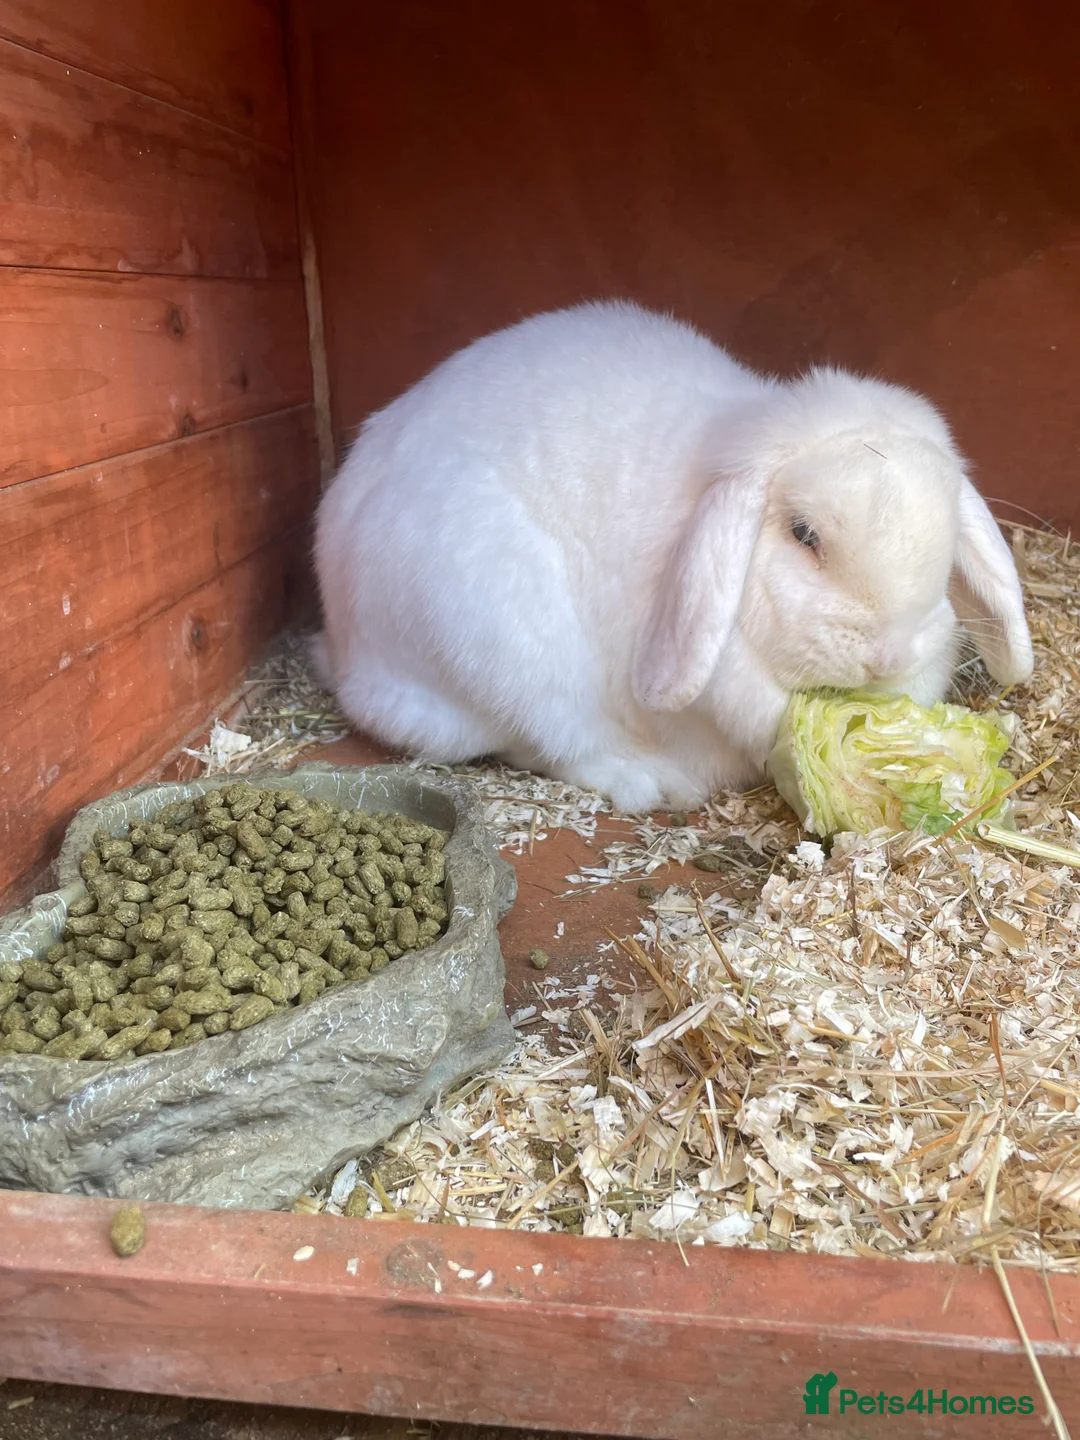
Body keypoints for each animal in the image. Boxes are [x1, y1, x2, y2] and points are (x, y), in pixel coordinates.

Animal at [312, 300, 1033, 814]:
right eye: (803, 534)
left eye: (943, 553)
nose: (886, 656)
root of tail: (344, 651)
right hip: (497, 637)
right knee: (553, 739)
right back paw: (650, 781)